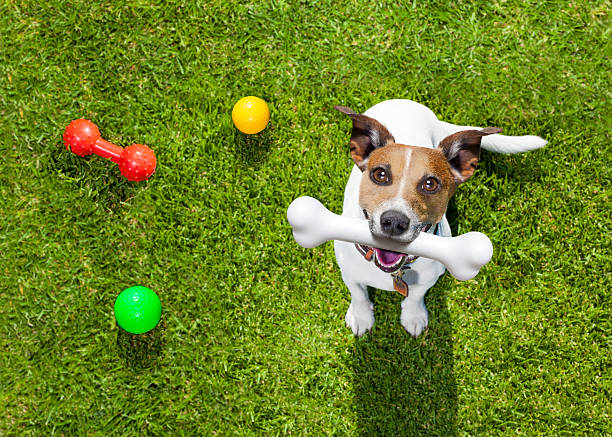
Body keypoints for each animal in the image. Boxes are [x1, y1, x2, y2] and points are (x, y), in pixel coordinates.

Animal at [332, 99, 548, 338]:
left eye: (430, 183)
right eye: (380, 174)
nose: (394, 222)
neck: (395, 271)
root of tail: (405, 102)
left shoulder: (428, 279)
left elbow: (415, 297)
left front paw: (413, 316)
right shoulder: (348, 272)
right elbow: (358, 293)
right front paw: (361, 316)